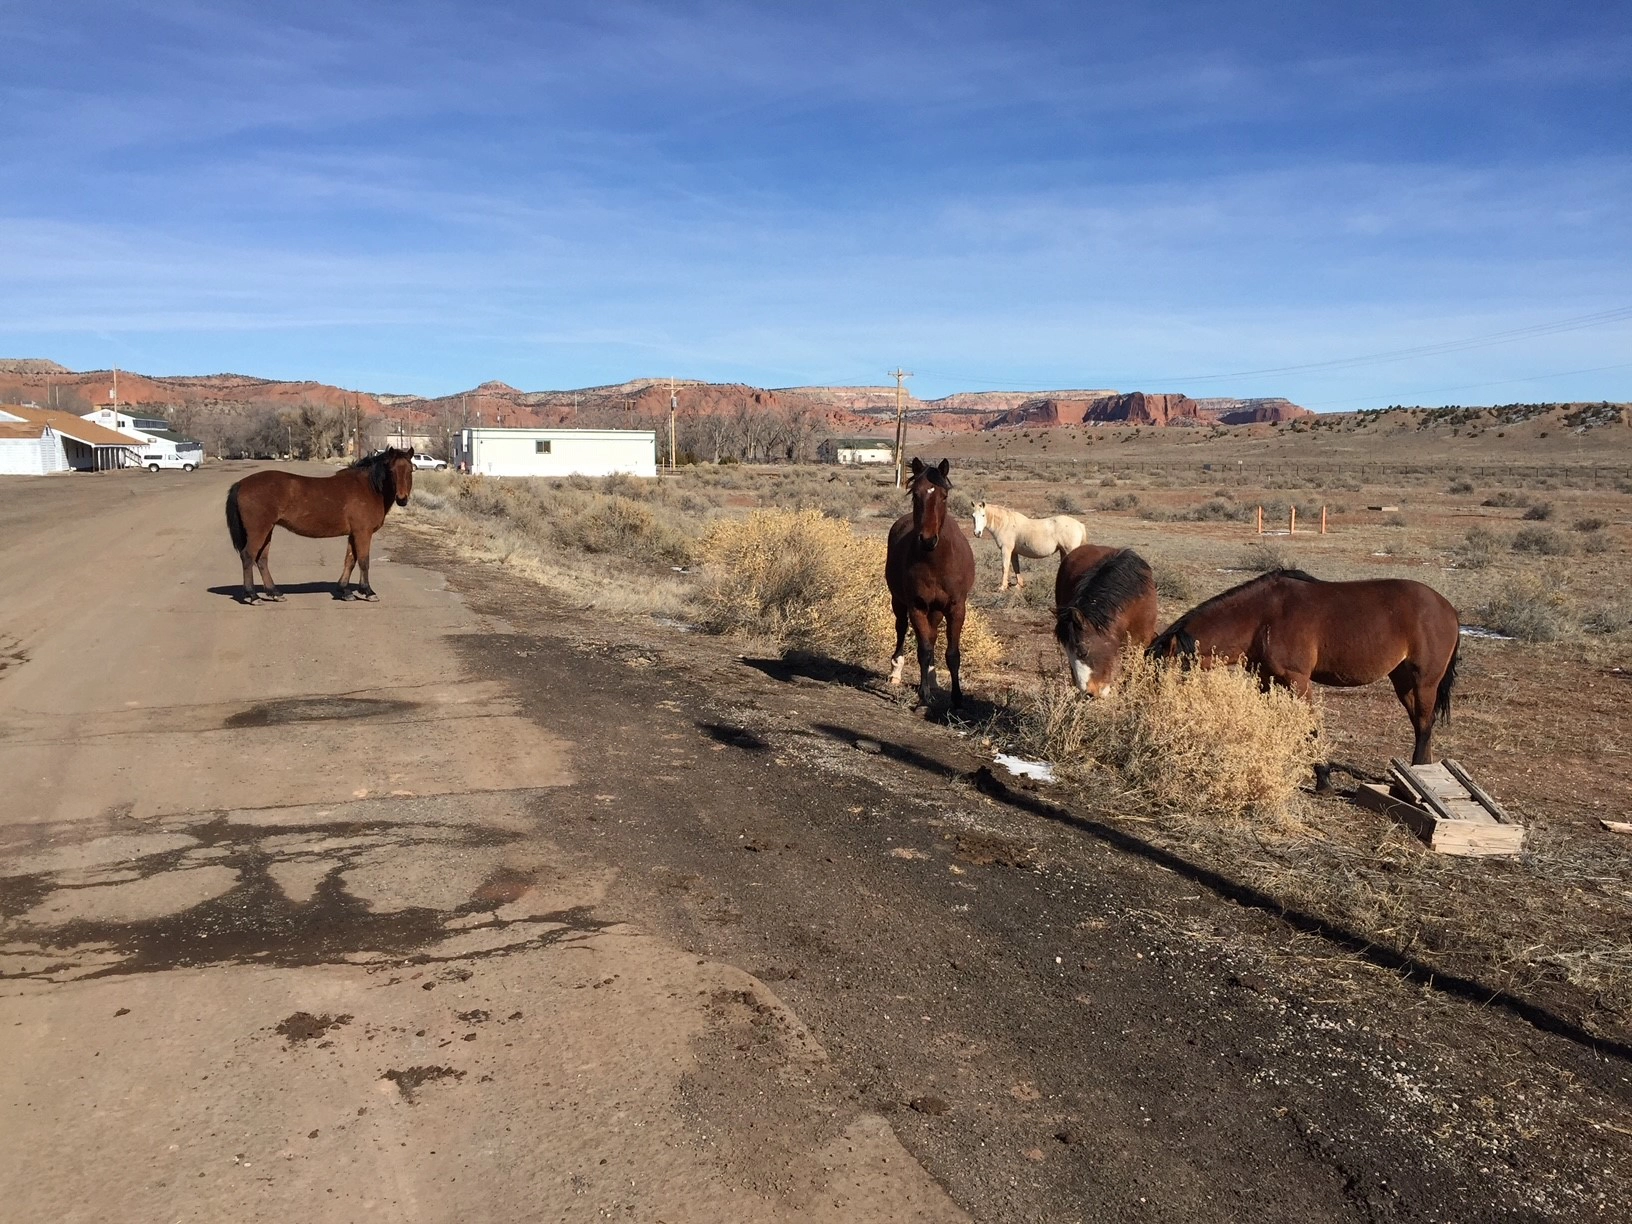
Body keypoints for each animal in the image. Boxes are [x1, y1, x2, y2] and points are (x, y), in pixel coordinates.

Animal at [223, 450, 414, 603]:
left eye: (410, 469)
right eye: (391, 470)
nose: (402, 499)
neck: (368, 487)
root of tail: (241, 484)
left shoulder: (353, 533)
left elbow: (350, 560)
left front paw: (345, 591)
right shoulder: (363, 532)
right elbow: (363, 561)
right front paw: (368, 591)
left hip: (267, 530)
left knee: (261, 559)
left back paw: (275, 593)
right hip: (258, 530)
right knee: (248, 556)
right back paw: (252, 595)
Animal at [887, 456, 972, 708]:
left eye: (944, 495)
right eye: (916, 494)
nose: (927, 539)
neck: (936, 560)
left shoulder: (956, 608)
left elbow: (952, 654)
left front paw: (957, 698)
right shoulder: (917, 607)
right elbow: (923, 650)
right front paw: (924, 696)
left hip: (936, 610)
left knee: (933, 635)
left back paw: (933, 679)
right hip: (899, 602)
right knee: (901, 629)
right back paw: (896, 672)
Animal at [1148, 574, 1468, 789]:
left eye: (1158, 675)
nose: (1152, 720)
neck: (1262, 617)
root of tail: (1449, 609)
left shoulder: (1297, 680)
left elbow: (1310, 727)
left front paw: (1323, 778)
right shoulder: (1265, 680)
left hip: (1424, 682)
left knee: (1424, 725)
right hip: (1404, 681)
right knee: (1421, 724)